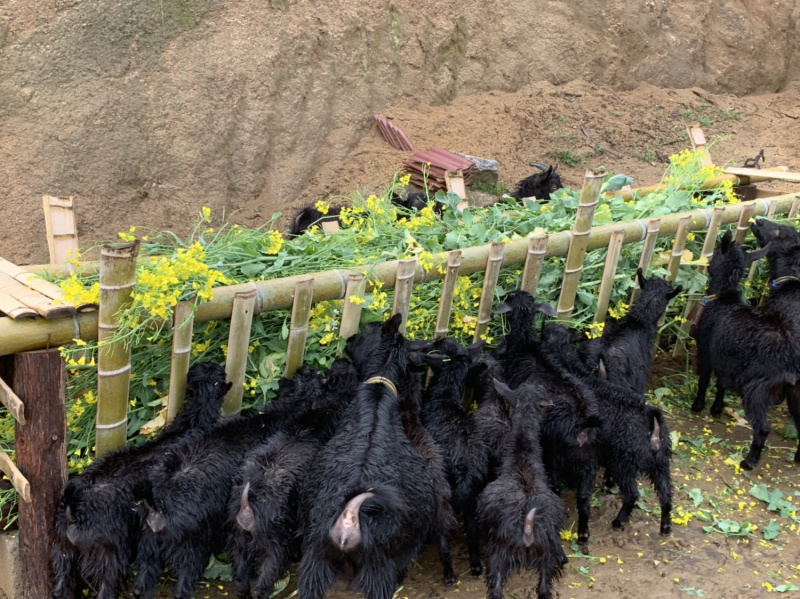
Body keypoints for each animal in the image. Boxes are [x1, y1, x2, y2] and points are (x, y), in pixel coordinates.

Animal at [300, 314, 438, 599]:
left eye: (367, 330)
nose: (350, 338)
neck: (379, 388)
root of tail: (349, 517)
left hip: (314, 562)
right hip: (379, 570)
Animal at [422, 338, 490, 576]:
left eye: (438, 346)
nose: (438, 340)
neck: (444, 397)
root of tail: (467, 467)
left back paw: (449, 573)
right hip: (473, 496)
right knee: (473, 530)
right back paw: (476, 566)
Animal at [476, 382, 568, 599]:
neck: (522, 457)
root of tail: (527, 531)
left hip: (498, 555)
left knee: (496, 589)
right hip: (547, 558)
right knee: (543, 589)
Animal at [688, 232, 800, 472]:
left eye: (715, 255)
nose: (707, 262)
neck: (723, 299)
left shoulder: (706, 350)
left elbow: (704, 379)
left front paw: (698, 406)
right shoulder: (726, 358)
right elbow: (721, 383)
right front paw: (717, 408)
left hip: (756, 389)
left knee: (763, 428)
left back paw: (749, 461)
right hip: (797, 392)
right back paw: (797, 458)